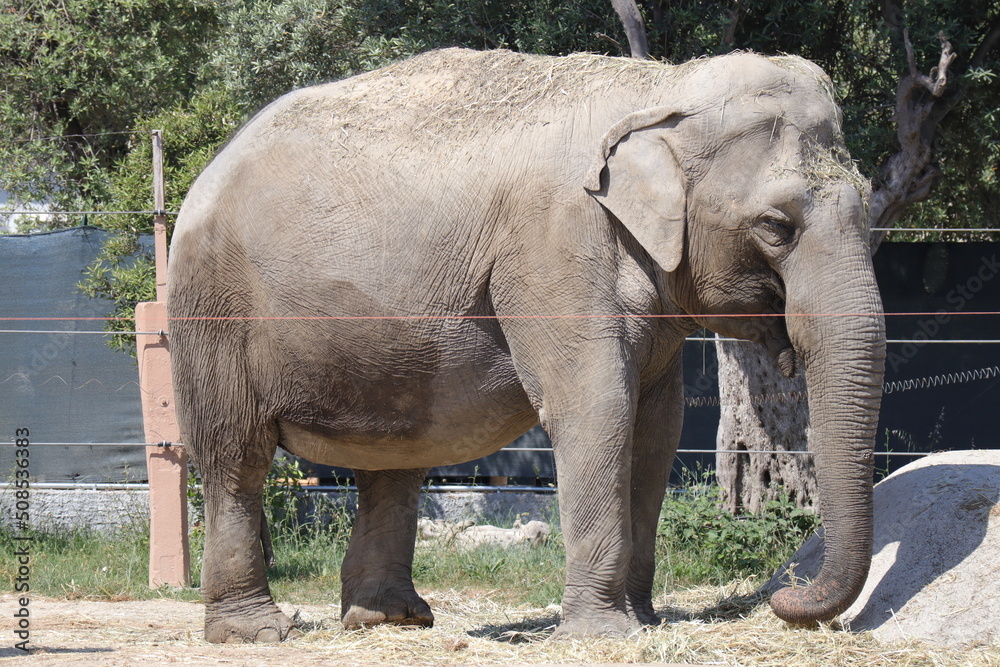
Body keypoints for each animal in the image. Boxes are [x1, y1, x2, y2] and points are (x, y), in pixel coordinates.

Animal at [167, 47, 886, 642]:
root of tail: (209, 170)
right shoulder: (554, 247)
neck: (658, 88)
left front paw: (645, 622)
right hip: (214, 310)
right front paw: (605, 636)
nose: (785, 600)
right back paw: (258, 633)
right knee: (236, 455)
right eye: (775, 225)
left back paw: (393, 620)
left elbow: (657, 426)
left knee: (394, 460)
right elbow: (597, 407)